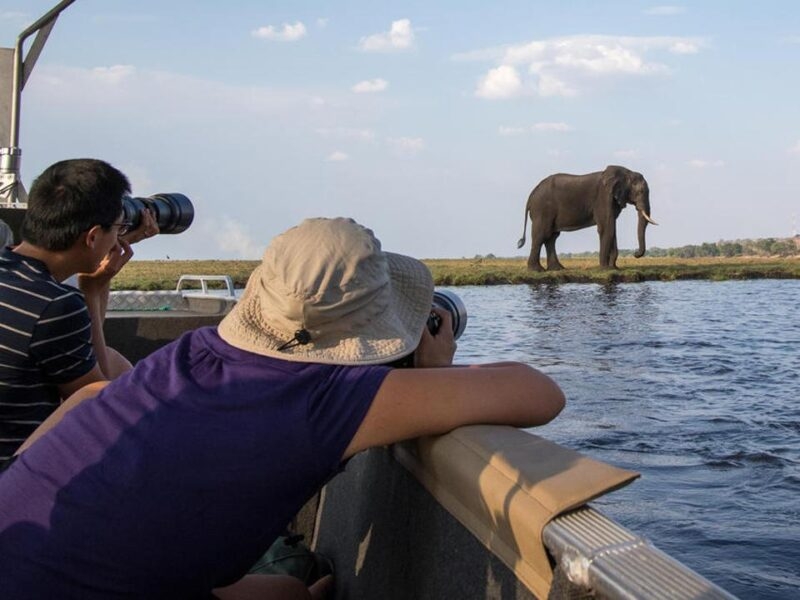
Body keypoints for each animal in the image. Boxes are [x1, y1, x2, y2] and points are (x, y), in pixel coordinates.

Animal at [517, 165, 657, 271]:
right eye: (641, 192)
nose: (635, 253)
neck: (626, 172)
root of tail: (531, 195)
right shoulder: (603, 197)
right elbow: (607, 227)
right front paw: (605, 269)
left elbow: (612, 228)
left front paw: (614, 268)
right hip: (542, 210)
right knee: (542, 235)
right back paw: (537, 270)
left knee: (551, 237)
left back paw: (557, 269)